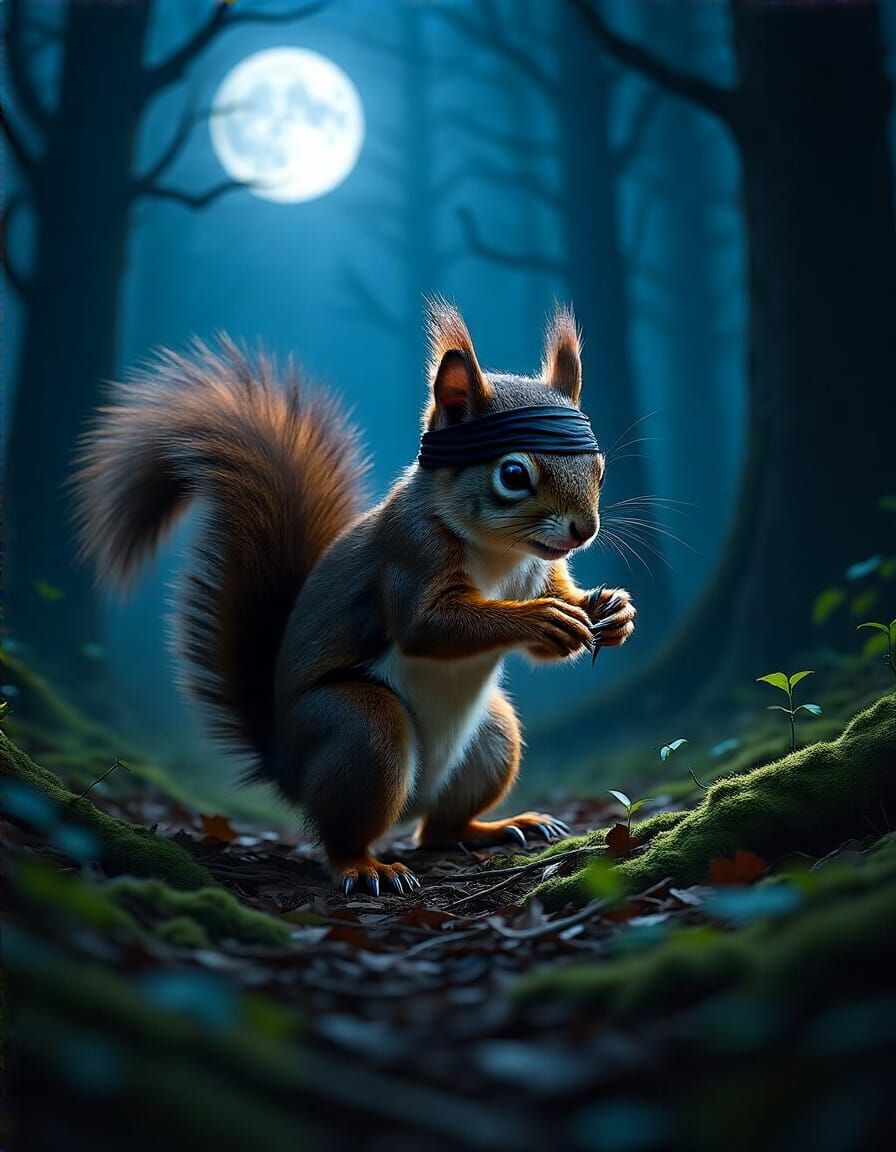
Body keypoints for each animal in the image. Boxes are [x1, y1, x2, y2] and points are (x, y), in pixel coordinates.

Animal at [73, 301, 636, 896]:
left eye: (599, 466)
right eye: (512, 474)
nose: (584, 530)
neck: (501, 553)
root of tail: (287, 764)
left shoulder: (539, 568)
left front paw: (612, 611)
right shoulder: (410, 553)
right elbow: (427, 626)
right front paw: (543, 618)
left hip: (494, 737)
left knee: (438, 830)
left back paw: (499, 826)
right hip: (362, 731)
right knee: (347, 831)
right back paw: (365, 867)